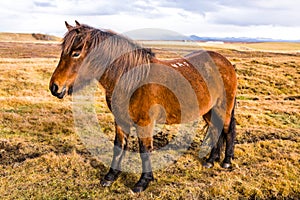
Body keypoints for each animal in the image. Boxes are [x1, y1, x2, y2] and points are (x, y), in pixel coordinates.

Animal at [48, 21, 237, 193]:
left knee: (227, 130)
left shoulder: (145, 123)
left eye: (76, 53)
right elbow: (118, 147)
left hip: (223, 108)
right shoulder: (120, 120)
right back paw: (210, 161)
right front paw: (110, 177)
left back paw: (226, 162)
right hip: (209, 111)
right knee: (216, 130)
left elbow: (144, 150)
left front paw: (142, 182)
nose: (54, 87)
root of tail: (225, 62)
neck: (132, 80)